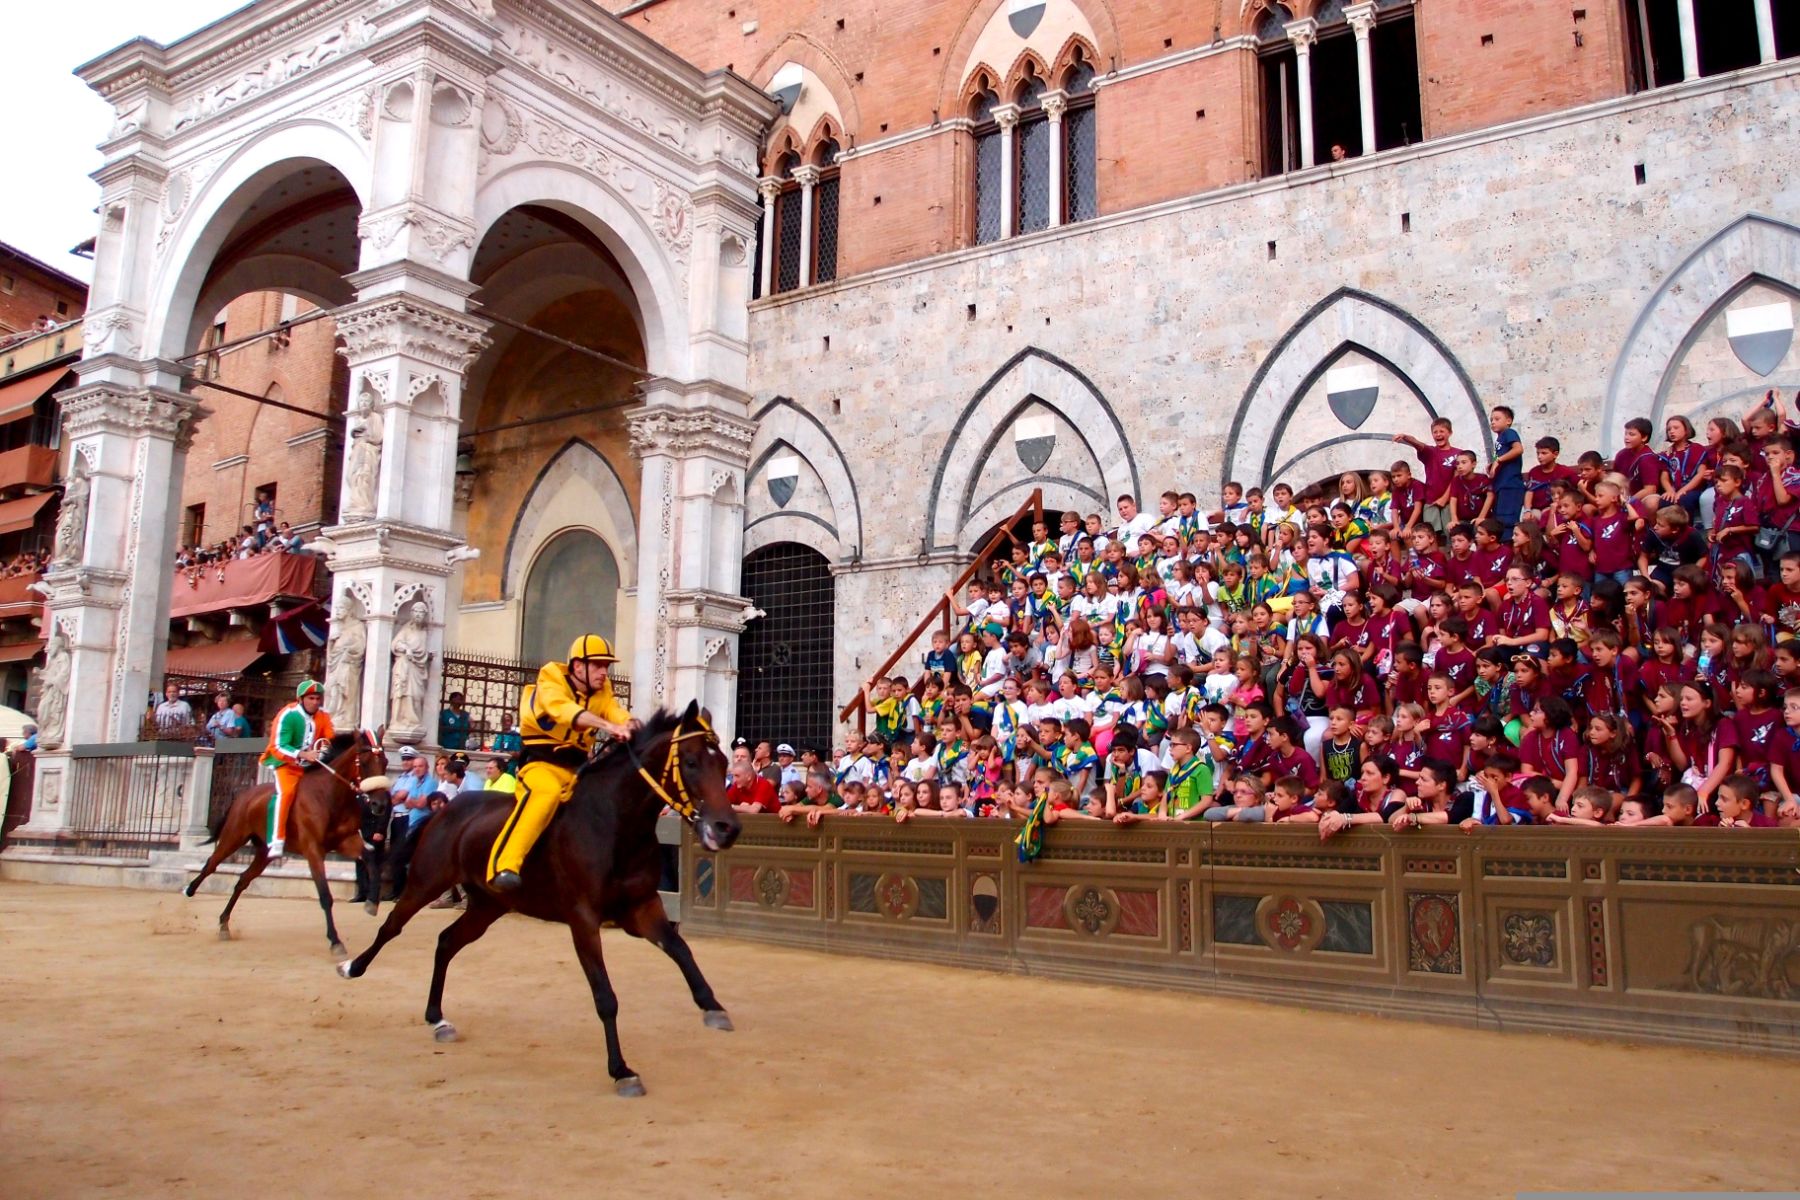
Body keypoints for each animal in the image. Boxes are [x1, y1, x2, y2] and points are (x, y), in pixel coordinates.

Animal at [184, 734, 392, 957]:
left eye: (385, 762)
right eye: (365, 762)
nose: (380, 804)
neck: (330, 796)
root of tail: (244, 795)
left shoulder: (347, 841)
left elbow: (371, 861)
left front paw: (372, 902)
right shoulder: (313, 850)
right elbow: (325, 895)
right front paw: (335, 941)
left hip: (264, 852)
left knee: (242, 880)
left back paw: (224, 924)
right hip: (233, 837)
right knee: (211, 864)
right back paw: (189, 890)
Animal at [338, 705, 738, 1101]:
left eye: (722, 763)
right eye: (691, 761)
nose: (727, 828)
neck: (613, 824)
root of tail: (446, 809)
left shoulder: (642, 908)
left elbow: (681, 949)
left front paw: (713, 1007)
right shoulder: (583, 918)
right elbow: (605, 996)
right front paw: (622, 1071)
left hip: (487, 905)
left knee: (447, 942)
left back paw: (437, 1018)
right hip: (425, 882)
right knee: (392, 926)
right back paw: (352, 966)